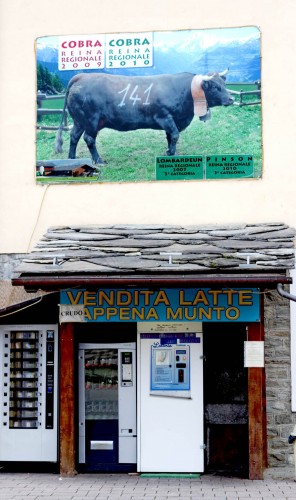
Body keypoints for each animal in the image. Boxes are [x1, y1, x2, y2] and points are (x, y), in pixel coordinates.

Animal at [54, 70, 232, 164]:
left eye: (224, 84)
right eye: (215, 87)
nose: (231, 99)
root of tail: (82, 75)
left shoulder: (172, 119)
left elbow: (170, 136)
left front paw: (169, 151)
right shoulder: (164, 116)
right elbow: (174, 135)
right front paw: (171, 152)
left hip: (79, 120)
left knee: (74, 136)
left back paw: (71, 159)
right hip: (92, 120)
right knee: (89, 139)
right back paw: (99, 161)